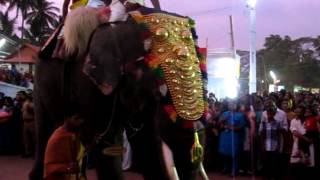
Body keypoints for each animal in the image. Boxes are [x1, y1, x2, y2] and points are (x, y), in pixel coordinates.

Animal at [30, 0, 208, 179]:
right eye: (150, 74)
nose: (197, 130)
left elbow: (147, 144)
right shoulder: (86, 81)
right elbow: (106, 147)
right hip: (40, 86)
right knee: (46, 133)